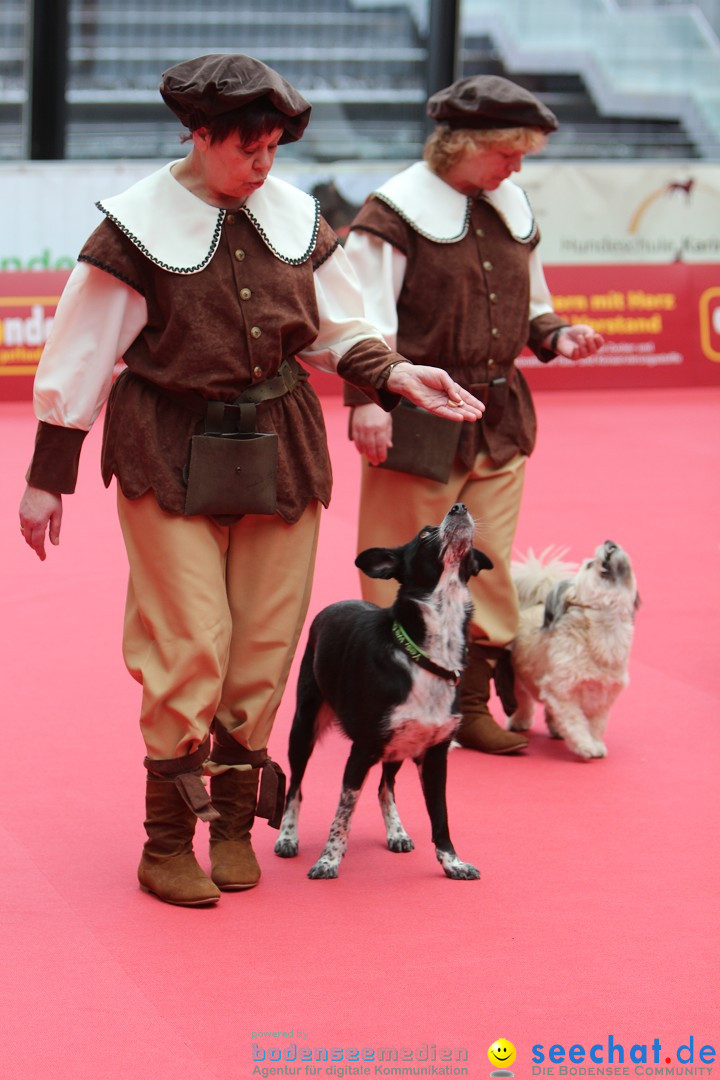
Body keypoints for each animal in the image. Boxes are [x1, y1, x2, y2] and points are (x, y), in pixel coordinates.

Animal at [273, 501, 492, 881]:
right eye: (424, 533)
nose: (459, 506)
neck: (426, 655)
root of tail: (337, 604)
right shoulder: (362, 749)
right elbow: (342, 814)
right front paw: (328, 860)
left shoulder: (435, 753)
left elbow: (441, 816)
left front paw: (452, 862)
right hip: (303, 726)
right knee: (295, 787)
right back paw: (288, 836)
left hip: (400, 746)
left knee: (384, 787)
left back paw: (397, 832)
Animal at [509, 540, 639, 760]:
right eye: (590, 565)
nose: (609, 542)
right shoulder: (561, 691)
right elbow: (575, 722)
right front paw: (585, 746)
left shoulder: (602, 698)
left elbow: (595, 725)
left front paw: (595, 743)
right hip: (516, 677)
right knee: (523, 699)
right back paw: (520, 721)